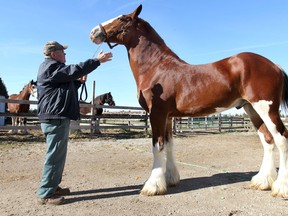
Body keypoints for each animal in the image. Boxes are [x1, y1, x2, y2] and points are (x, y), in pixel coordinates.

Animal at [91, 5, 288, 198]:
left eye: (122, 18)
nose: (93, 32)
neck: (156, 68)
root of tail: (275, 65)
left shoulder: (157, 114)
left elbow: (157, 146)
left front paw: (153, 186)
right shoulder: (168, 117)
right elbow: (169, 145)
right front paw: (170, 179)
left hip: (266, 108)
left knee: (281, 138)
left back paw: (281, 187)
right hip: (252, 109)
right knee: (268, 140)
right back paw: (263, 181)